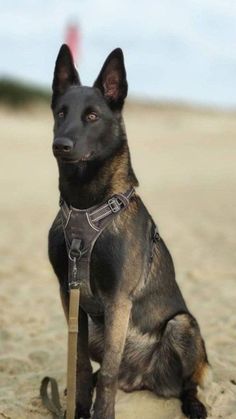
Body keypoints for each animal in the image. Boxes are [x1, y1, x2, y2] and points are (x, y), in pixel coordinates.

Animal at [48, 44, 208, 418]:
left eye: (92, 116)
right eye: (61, 113)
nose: (60, 144)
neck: (86, 205)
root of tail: (140, 377)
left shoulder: (117, 299)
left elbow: (106, 373)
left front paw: (101, 412)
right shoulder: (68, 293)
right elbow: (79, 365)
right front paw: (79, 407)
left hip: (182, 326)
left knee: (186, 382)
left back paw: (193, 404)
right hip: (97, 327)